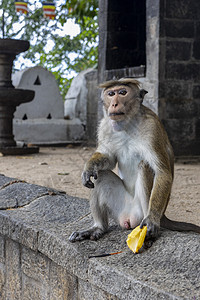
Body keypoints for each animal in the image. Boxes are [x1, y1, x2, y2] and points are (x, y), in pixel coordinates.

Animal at [69, 78, 200, 245]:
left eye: (122, 92)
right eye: (111, 94)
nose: (114, 104)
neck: (127, 123)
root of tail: (129, 219)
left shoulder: (152, 128)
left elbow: (162, 171)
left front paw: (151, 220)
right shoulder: (105, 125)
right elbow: (108, 158)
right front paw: (89, 168)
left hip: (140, 213)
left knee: (145, 166)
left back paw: (148, 228)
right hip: (120, 208)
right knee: (101, 176)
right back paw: (99, 228)